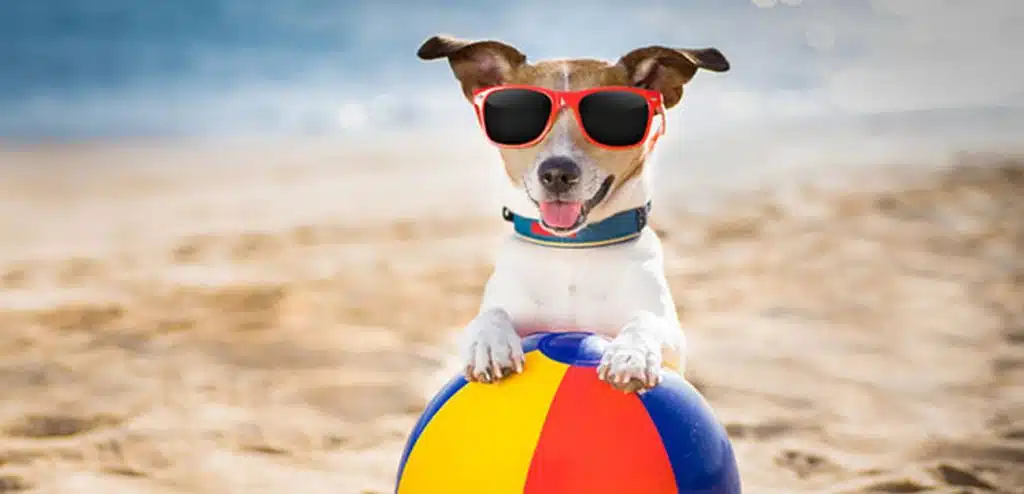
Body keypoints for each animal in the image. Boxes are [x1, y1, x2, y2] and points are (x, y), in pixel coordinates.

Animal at [415, 34, 729, 391]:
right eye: (518, 117)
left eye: (612, 118)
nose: (557, 173)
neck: (572, 250)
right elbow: (489, 315)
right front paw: (490, 343)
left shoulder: (671, 337)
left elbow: (646, 320)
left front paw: (631, 354)